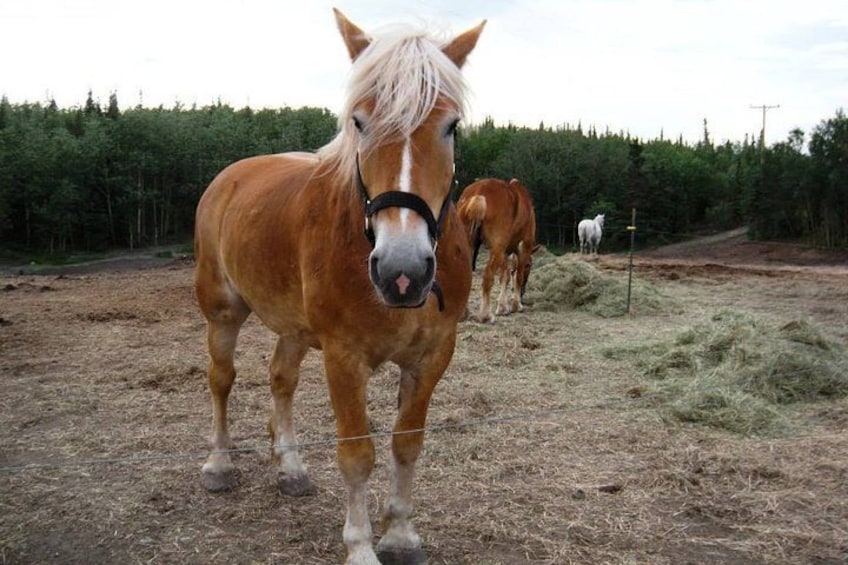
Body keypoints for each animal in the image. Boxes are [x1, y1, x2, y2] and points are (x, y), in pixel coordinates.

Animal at [193, 9, 484, 564]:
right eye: (360, 121)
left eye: (451, 125)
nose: (402, 269)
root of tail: (231, 176)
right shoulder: (344, 357)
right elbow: (356, 453)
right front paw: (361, 546)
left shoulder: (433, 354)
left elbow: (406, 442)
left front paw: (400, 534)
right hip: (222, 311)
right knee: (222, 378)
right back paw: (219, 464)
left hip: (293, 326)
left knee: (281, 378)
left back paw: (290, 467)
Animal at [457, 178, 539, 322]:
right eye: (529, 265)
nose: (523, 293)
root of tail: (480, 191)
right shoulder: (524, 247)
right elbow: (517, 276)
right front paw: (516, 304)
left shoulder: (506, 253)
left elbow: (505, 277)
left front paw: (502, 307)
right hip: (496, 249)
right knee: (487, 278)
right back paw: (485, 315)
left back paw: (463, 313)